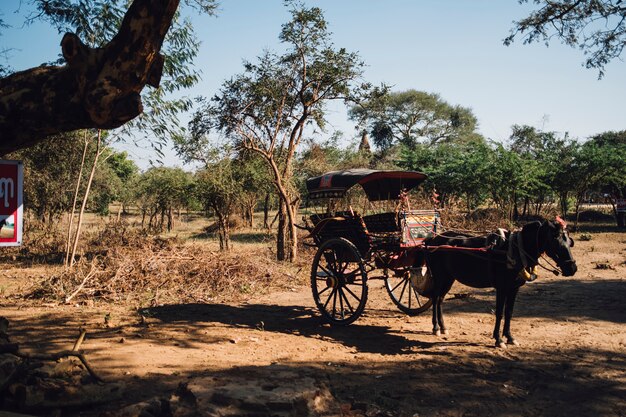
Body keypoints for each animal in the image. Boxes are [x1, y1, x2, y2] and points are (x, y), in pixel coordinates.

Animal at [420, 218, 576, 348]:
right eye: (555, 240)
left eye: (569, 241)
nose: (572, 268)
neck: (515, 250)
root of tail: (434, 239)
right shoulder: (502, 288)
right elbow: (500, 313)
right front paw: (498, 339)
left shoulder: (514, 288)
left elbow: (509, 312)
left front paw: (510, 337)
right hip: (440, 277)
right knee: (435, 298)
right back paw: (436, 328)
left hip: (449, 278)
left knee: (440, 299)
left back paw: (443, 327)